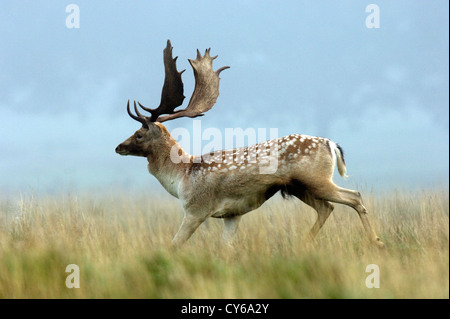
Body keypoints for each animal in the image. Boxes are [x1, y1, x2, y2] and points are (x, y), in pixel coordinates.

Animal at [115, 40, 384, 250]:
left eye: (138, 134)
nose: (118, 147)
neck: (182, 176)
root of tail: (331, 144)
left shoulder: (196, 208)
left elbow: (174, 245)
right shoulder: (232, 215)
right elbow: (227, 248)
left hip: (315, 179)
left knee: (354, 196)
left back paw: (377, 241)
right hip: (300, 187)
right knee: (327, 208)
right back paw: (304, 243)